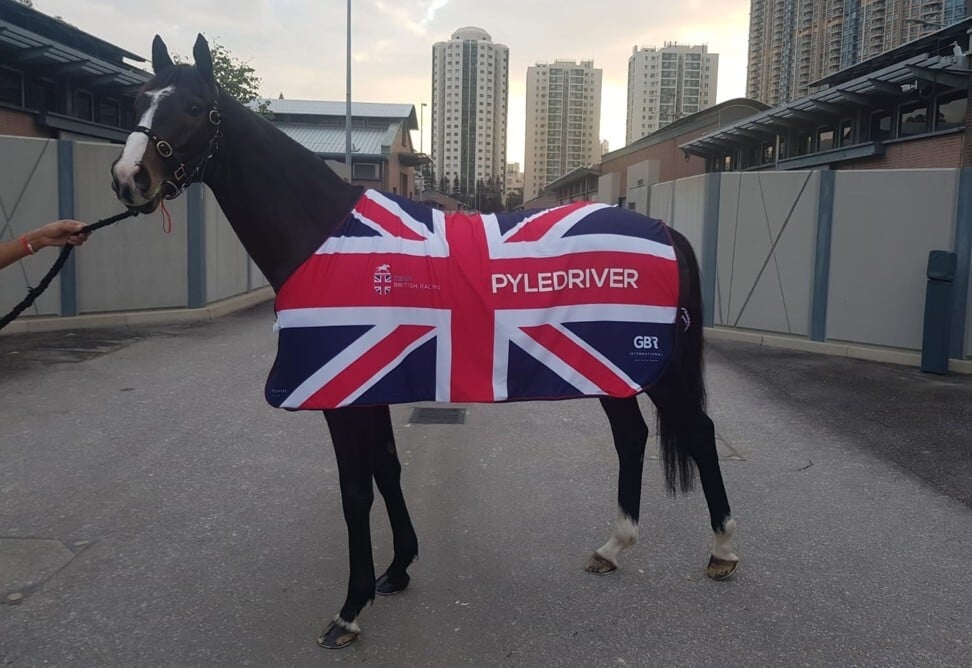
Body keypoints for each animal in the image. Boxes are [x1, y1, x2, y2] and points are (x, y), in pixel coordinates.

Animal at [110, 34, 740, 648]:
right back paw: (613, 547)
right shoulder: (370, 384)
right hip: (611, 368)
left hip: (657, 368)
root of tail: (665, 229)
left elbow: (355, 492)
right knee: (632, 437)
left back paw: (722, 551)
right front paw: (397, 569)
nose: (128, 179)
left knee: (699, 434)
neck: (327, 237)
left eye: (195, 108)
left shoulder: (342, 394)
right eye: (139, 99)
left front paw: (351, 609)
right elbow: (387, 470)